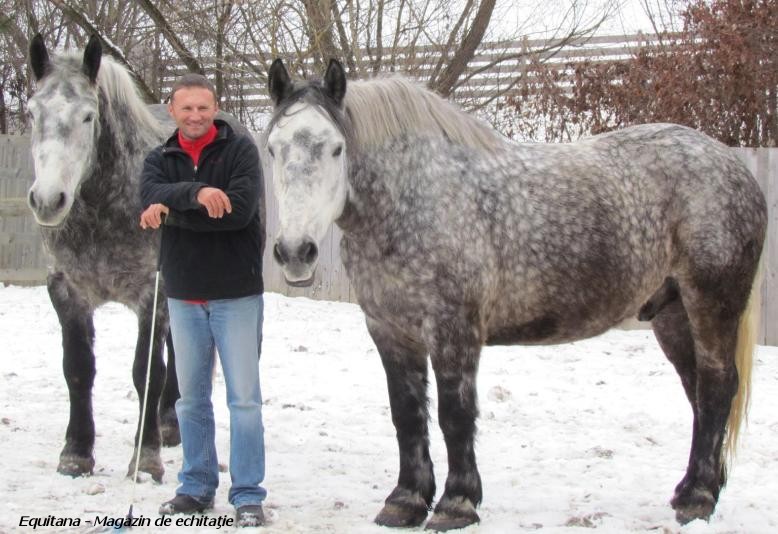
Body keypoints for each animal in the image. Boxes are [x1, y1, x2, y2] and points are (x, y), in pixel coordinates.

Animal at [262, 59, 764, 532]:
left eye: (336, 147)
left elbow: (455, 415)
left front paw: (456, 503)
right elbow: (407, 415)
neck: (415, 196)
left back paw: (698, 498)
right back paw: (692, 490)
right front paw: (405, 502)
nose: (295, 252)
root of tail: (733, 168)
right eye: (272, 148)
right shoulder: (389, 331)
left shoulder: (455, 329)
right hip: (672, 315)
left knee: (718, 387)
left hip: (711, 303)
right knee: (698, 392)